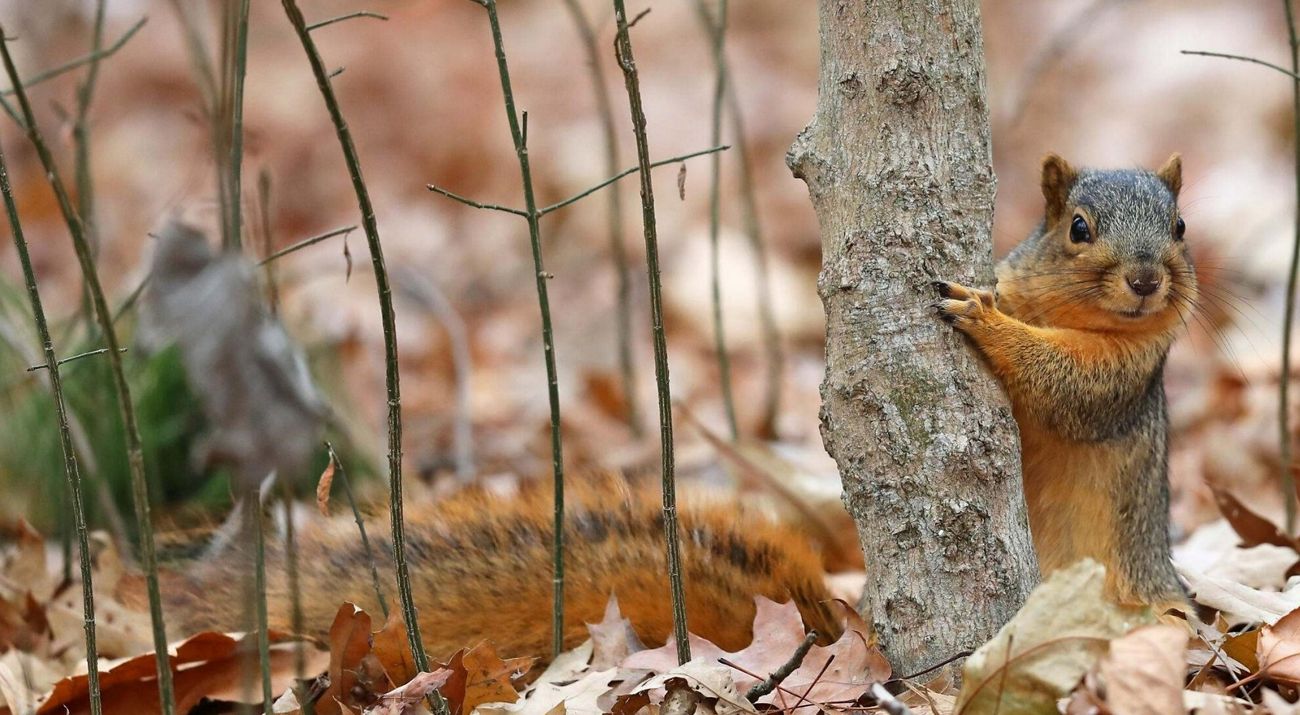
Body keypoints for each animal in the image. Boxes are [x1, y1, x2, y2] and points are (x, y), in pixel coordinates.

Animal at [933, 153, 1196, 614]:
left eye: (1179, 226)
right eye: (1078, 228)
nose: (1145, 280)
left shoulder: (1122, 375)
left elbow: (1062, 382)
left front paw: (984, 318)